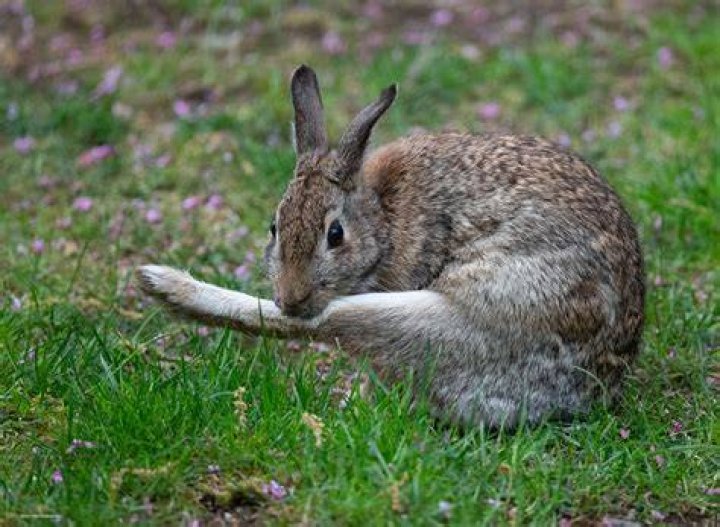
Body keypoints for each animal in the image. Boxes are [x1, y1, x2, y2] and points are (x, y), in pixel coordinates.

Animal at [137, 65, 645, 428]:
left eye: (335, 235)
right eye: (273, 228)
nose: (291, 298)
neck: (382, 219)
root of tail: (592, 388)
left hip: (444, 317)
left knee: (325, 324)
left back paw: (164, 285)